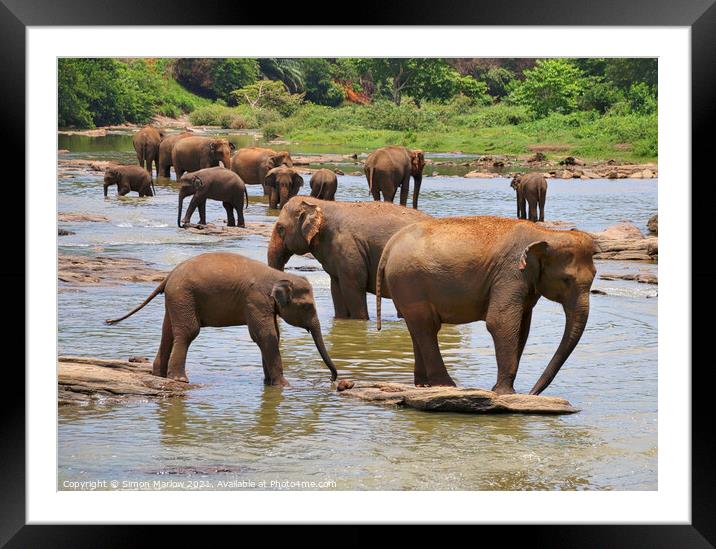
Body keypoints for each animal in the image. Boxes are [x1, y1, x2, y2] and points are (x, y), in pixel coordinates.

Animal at [105, 252, 338, 386]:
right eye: (307, 307)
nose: (332, 378)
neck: (277, 276)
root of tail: (168, 276)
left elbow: (271, 336)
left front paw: (269, 384)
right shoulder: (255, 300)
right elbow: (266, 335)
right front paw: (284, 385)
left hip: (176, 299)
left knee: (168, 332)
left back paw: (159, 375)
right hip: (184, 296)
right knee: (188, 332)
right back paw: (180, 379)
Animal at [374, 215, 600, 394]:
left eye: (594, 276)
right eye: (566, 280)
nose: (532, 392)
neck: (546, 233)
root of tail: (390, 246)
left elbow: (522, 328)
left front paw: (501, 390)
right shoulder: (511, 274)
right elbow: (500, 322)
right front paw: (505, 393)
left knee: (417, 328)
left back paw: (423, 385)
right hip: (409, 282)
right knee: (427, 327)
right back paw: (447, 385)